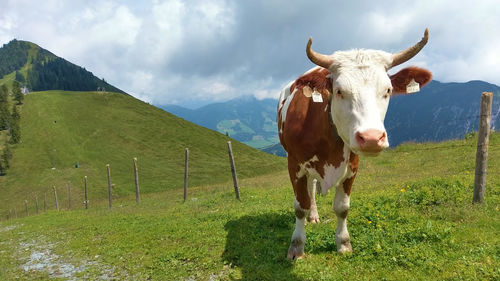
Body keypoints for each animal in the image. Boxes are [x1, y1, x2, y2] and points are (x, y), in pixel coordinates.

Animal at [278, 28, 434, 258]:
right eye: (339, 91)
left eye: (388, 90)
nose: (371, 138)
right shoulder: (294, 163)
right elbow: (300, 206)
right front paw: (297, 246)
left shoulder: (352, 165)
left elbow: (342, 207)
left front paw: (343, 243)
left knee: (313, 185)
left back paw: (314, 216)